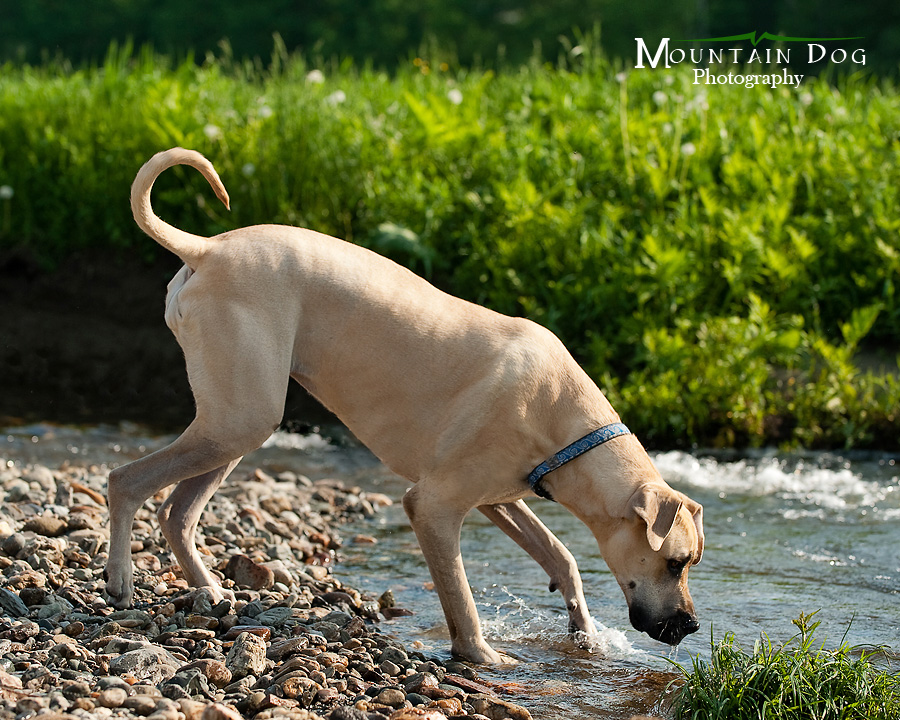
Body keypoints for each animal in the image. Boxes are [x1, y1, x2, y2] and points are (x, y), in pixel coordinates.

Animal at [105, 148, 708, 664]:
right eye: (675, 562)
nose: (691, 625)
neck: (569, 430)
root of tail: (206, 248)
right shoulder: (435, 505)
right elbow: (459, 595)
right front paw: (480, 655)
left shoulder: (500, 498)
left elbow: (561, 555)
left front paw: (584, 631)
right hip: (239, 420)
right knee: (125, 481)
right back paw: (120, 583)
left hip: (234, 424)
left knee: (177, 512)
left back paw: (208, 589)